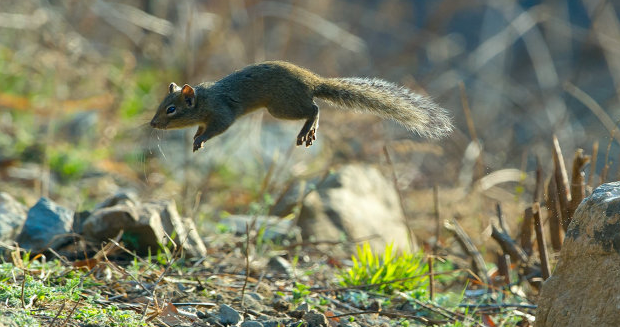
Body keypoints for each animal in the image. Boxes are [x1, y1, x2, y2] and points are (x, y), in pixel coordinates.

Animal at [149, 60, 450, 152]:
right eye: (161, 105)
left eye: (171, 110)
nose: (152, 124)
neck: (204, 99)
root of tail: (313, 81)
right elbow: (202, 128)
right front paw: (196, 137)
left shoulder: (222, 112)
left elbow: (218, 127)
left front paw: (201, 139)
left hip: (281, 107)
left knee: (314, 109)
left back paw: (308, 130)